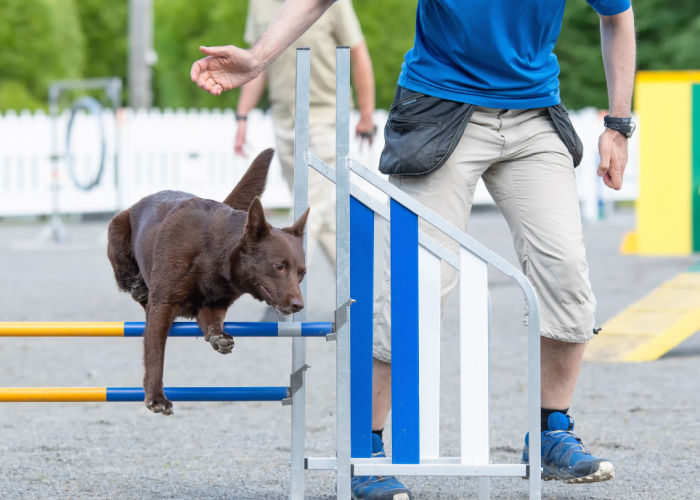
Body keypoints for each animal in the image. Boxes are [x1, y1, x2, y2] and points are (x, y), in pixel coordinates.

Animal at [106, 147, 308, 414]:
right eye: (279, 266)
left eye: (302, 274)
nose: (298, 306)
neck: (213, 253)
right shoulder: (162, 305)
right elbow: (155, 351)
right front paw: (156, 397)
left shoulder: (214, 304)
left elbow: (212, 322)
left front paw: (218, 337)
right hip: (117, 235)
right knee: (129, 282)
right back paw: (138, 287)